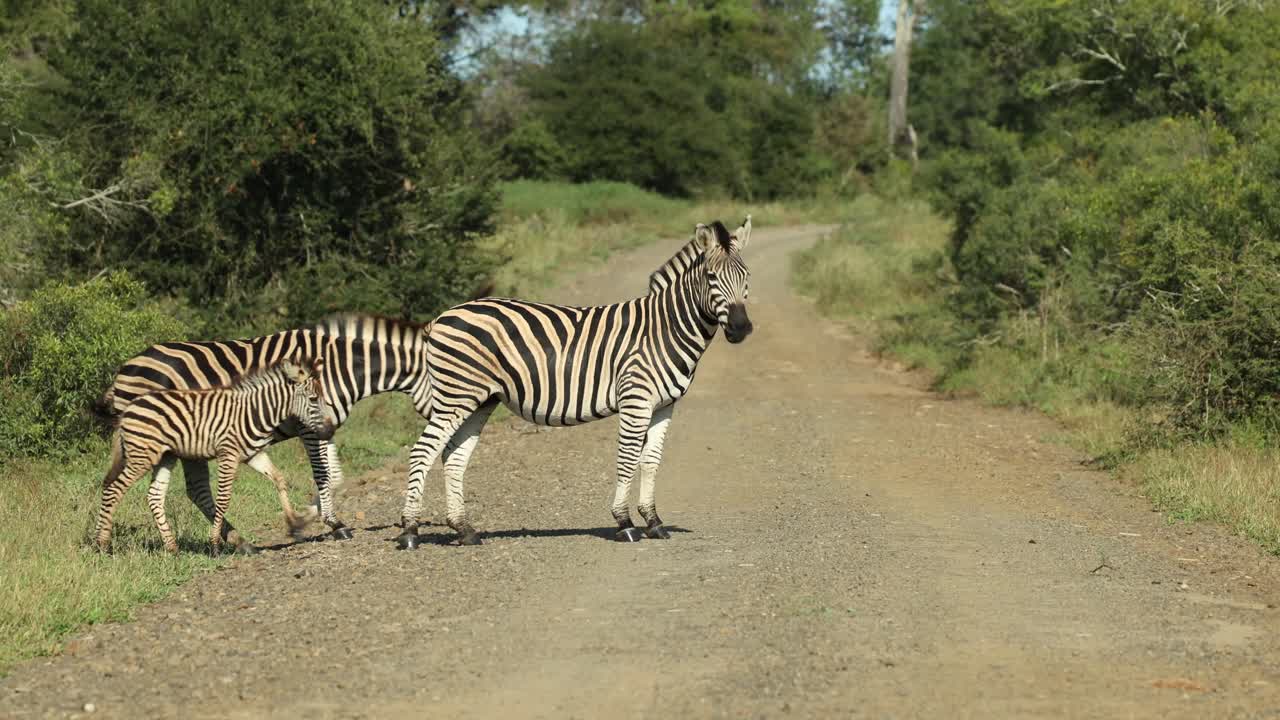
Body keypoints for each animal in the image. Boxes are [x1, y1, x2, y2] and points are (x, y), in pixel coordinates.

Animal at [95, 358, 336, 554]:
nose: (329, 431)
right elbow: (223, 499)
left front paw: (294, 522)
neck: (255, 412)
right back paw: (102, 544)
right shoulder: (228, 454)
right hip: (142, 456)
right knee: (113, 489)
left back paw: (171, 547)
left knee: (154, 496)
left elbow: (279, 479)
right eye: (313, 399)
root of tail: (129, 409)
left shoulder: (253, 454)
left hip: (165, 456)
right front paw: (214, 544)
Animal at [396, 216, 753, 549]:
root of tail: (441, 316)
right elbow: (627, 459)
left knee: (453, 457)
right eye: (711, 277)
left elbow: (651, 461)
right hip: (456, 396)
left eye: (747, 277)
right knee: (423, 451)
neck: (665, 329)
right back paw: (410, 531)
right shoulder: (635, 399)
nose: (740, 328)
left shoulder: (664, 405)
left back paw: (464, 529)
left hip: (480, 399)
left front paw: (653, 521)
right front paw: (625, 523)